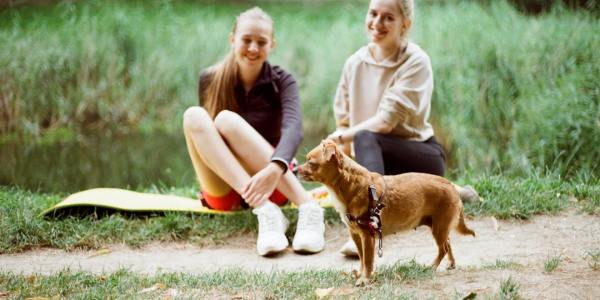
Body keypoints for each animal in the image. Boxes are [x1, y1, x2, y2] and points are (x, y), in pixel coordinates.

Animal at [298, 141, 476, 286]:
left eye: (311, 162)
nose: (295, 169)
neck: (350, 186)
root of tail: (452, 186)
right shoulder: (356, 235)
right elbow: (361, 259)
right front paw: (360, 274)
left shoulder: (367, 236)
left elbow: (368, 261)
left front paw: (365, 279)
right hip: (439, 226)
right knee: (448, 242)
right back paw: (451, 263)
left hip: (439, 227)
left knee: (443, 248)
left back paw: (431, 266)